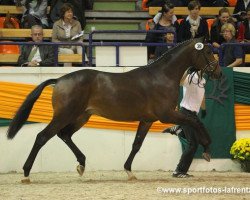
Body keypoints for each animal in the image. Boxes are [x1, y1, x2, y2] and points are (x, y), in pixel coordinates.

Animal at [6, 37, 221, 183]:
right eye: (209, 52)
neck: (162, 76)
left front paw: (129, 171)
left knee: (64, 135)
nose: (218, 73)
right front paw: (207, 148)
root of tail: (59, 80)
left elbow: (136, 144)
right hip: (64, 115)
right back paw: (26, 174)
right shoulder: (166, 114)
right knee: (42, 137)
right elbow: (193, 121)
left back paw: (81, 164)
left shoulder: (148, 119)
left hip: (80, 116)